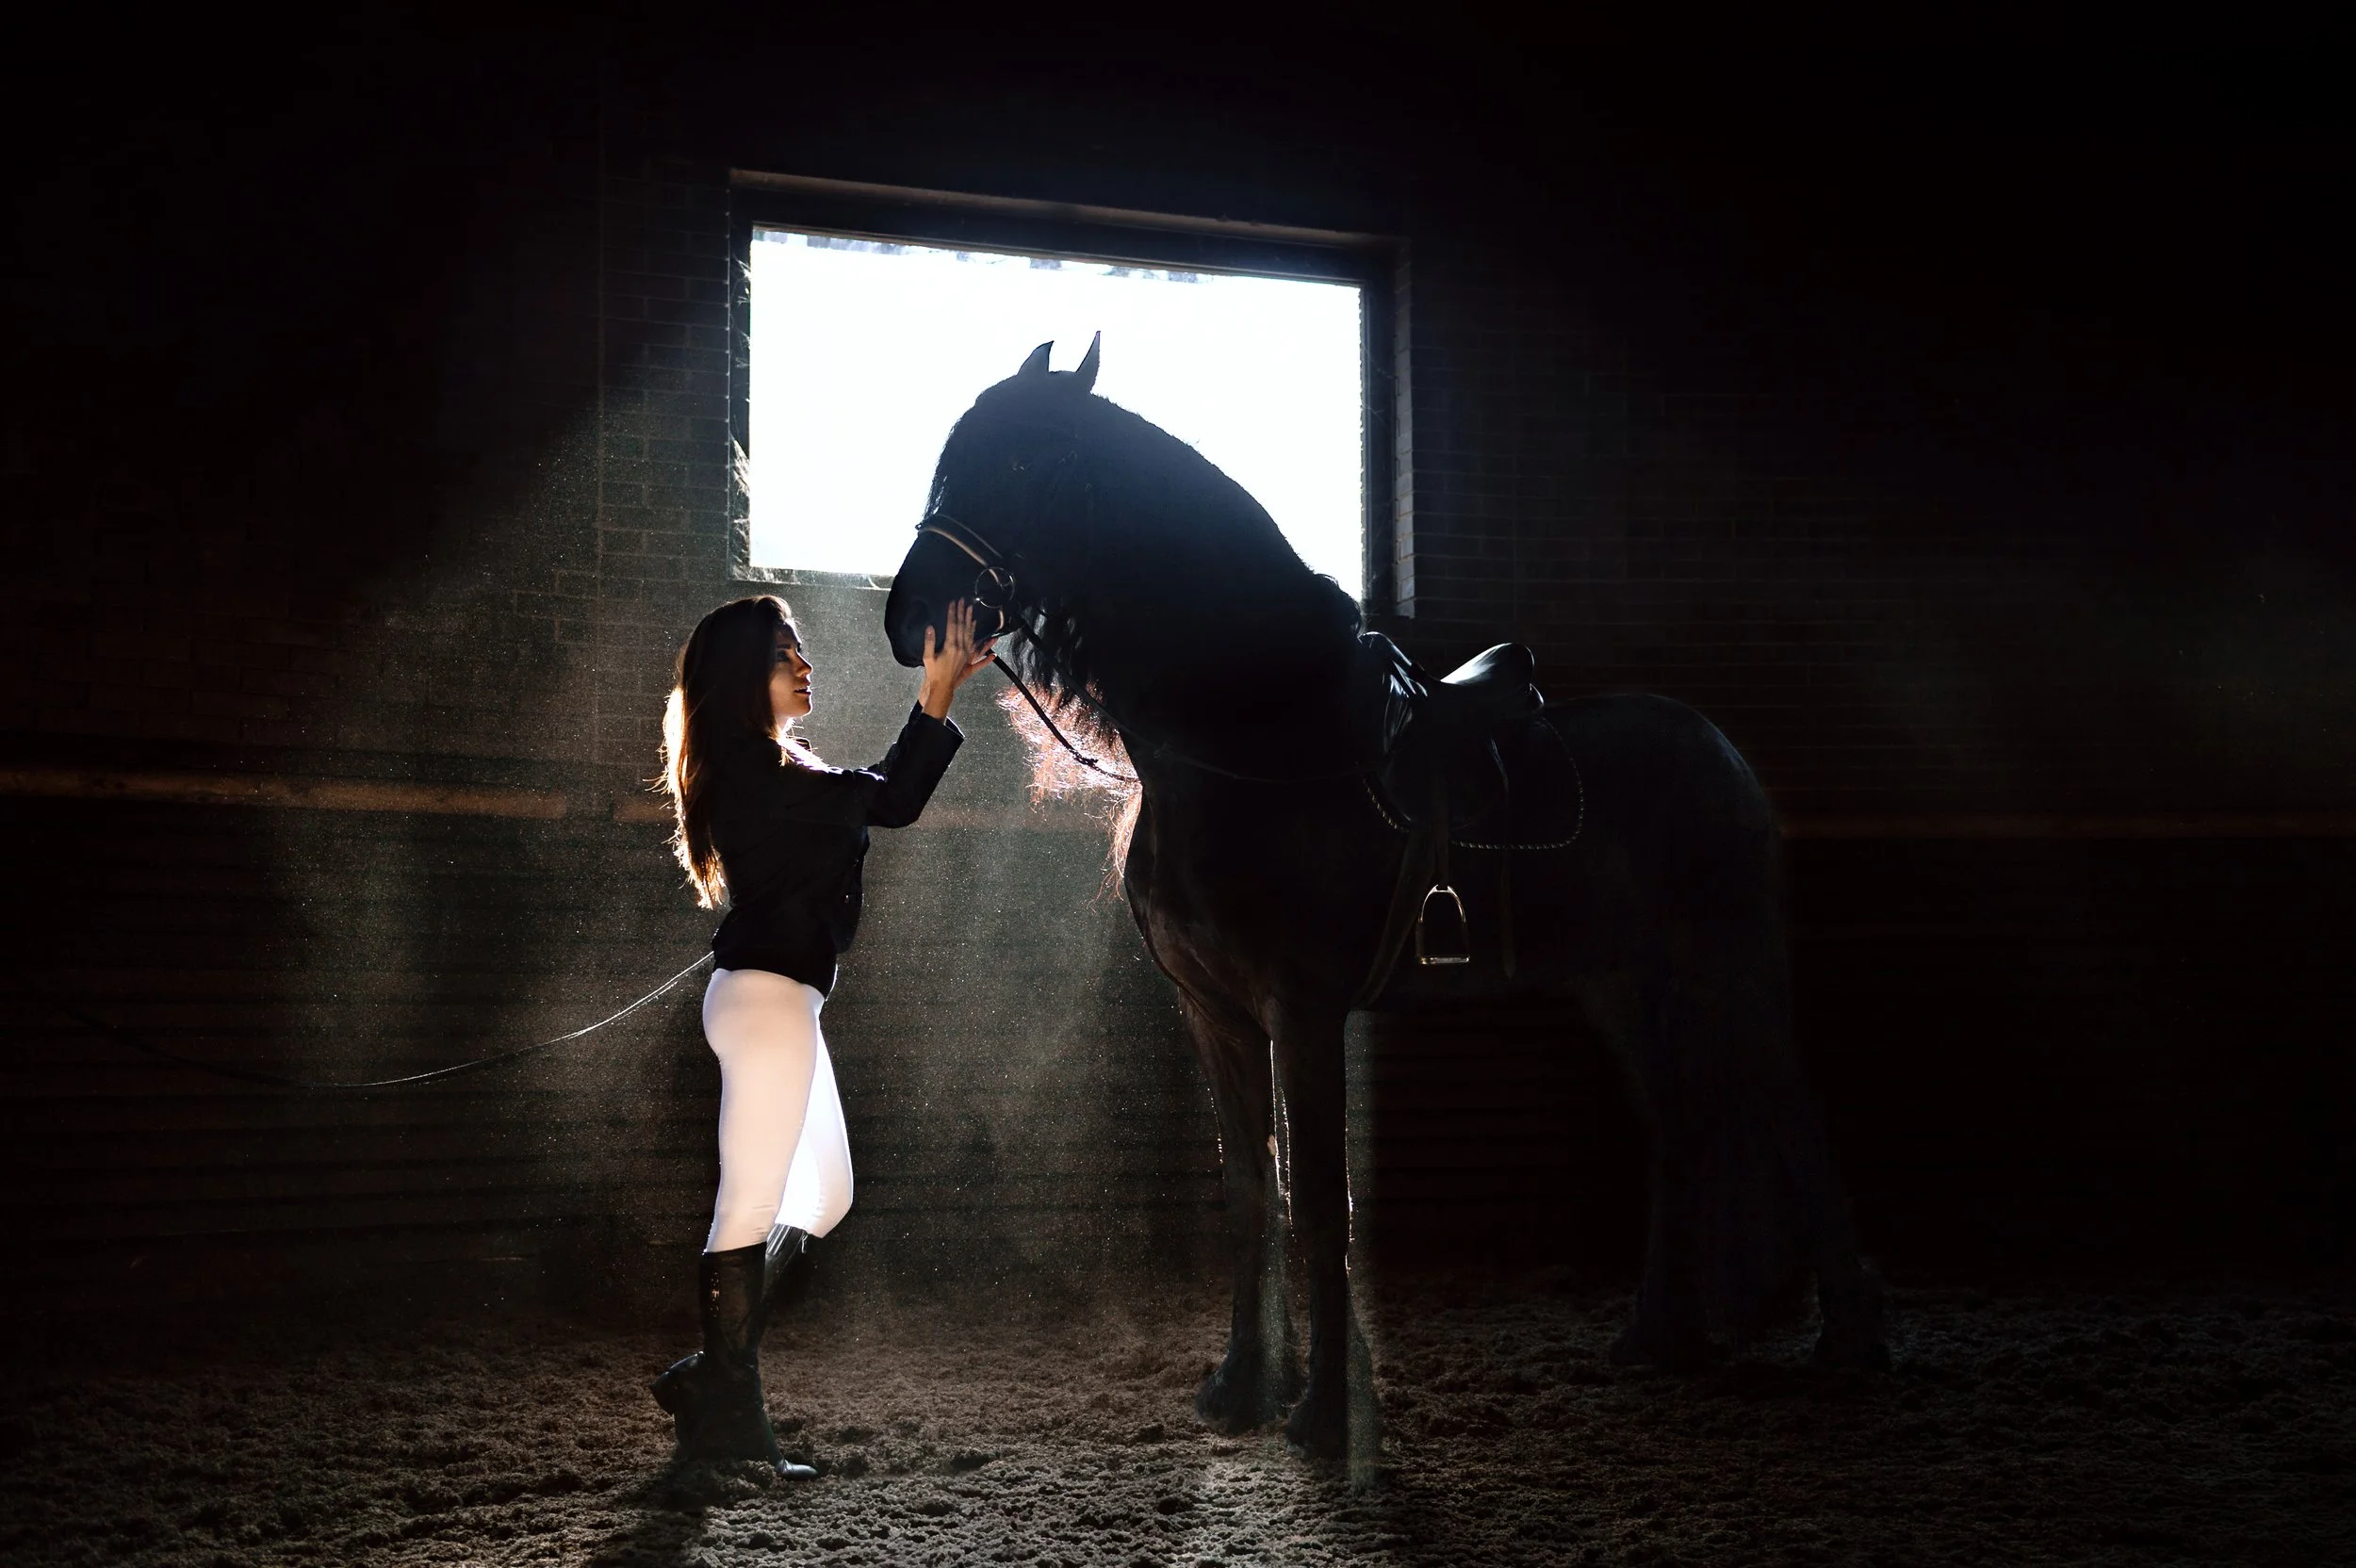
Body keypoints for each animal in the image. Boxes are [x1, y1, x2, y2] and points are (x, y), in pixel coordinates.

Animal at [882, 338, 1887, 1462]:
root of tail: (1722, 752)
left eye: (1021, 463)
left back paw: (1850, 1342)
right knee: (1675, 1124)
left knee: (1791, 1112)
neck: (1257, 742)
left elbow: (1324, 1200)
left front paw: (1327, 1411)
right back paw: (1655, 1335)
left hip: (1730, 963)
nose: (907, 616)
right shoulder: (1216, 1013)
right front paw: (1245, 1385)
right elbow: (1253, 1194)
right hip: (1620, 986)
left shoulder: (1305, 1010)